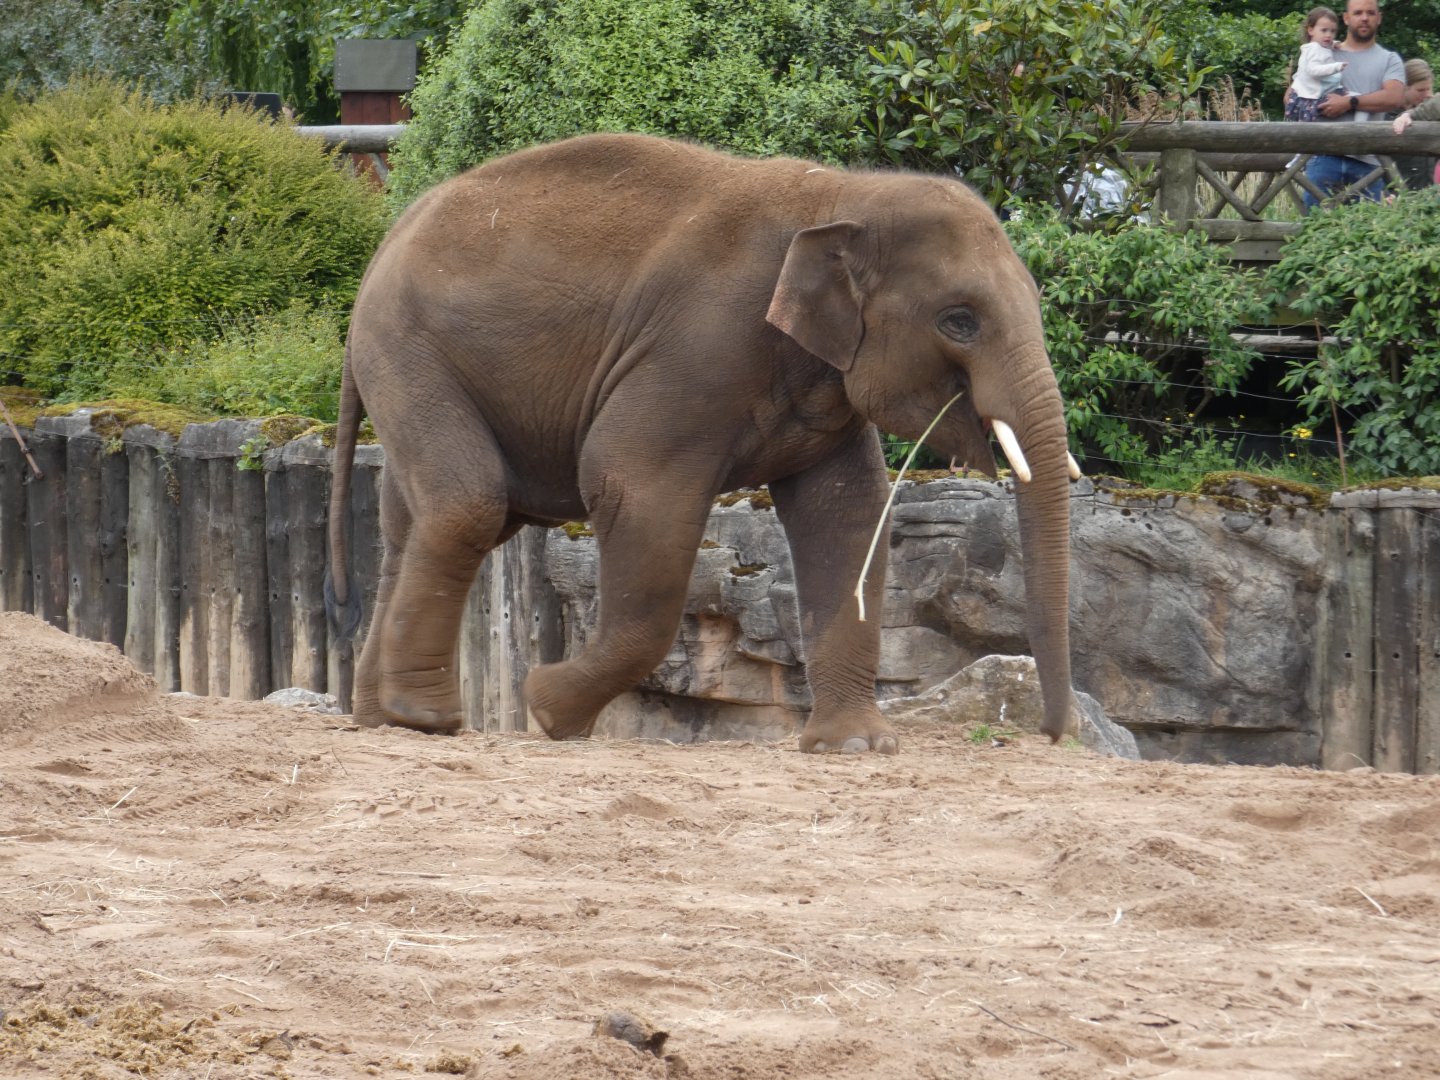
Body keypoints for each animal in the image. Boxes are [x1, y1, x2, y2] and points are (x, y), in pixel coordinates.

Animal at [327, 132, 1075, 754]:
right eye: (960, 320)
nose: (1048, 733)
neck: (841, 195)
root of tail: (382, 247)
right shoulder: (700, 342)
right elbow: (627, 478)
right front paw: (548, 709)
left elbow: (847, 514)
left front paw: (856, 747)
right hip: (407, 352)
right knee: (467, 504)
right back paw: (427, 720)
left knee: (415, 523)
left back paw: (381, 720)